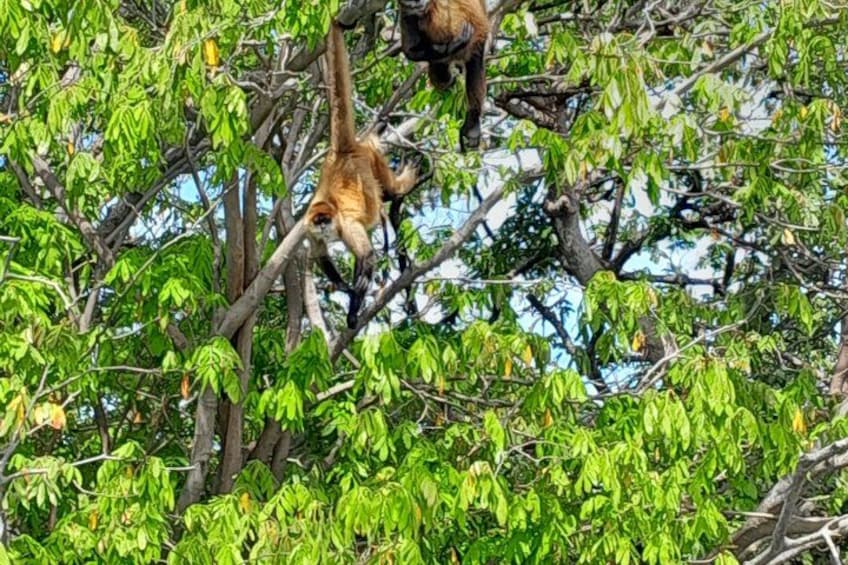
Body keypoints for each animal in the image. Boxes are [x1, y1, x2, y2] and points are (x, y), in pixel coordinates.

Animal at [305, 21, 417, 329]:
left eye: (326, 221)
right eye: (318, 223)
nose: (323, 228)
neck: (329, 206)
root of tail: (344, 152)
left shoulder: (346, 224)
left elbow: (367, 257)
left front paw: (354, 309)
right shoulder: (308, 226)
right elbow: (319, 254)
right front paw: (345, 288)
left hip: (372, 159)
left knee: (391, 190)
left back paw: (406, 181)